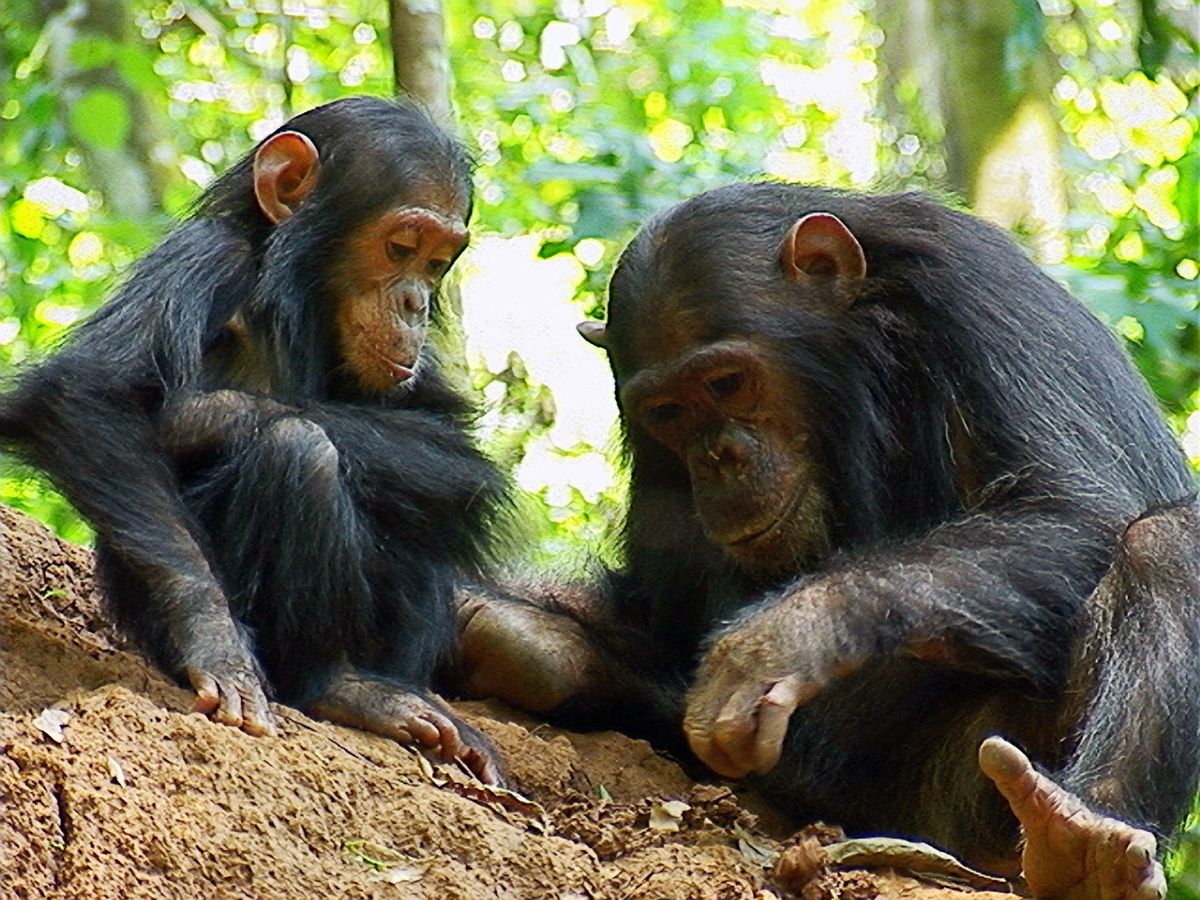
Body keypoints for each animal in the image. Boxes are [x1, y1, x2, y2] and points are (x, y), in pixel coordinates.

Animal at [0, 97, 506, 782]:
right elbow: (87, 395)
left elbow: (452, 450)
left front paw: (208, 415)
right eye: (401, 245)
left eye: (438, 261)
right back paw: (339, 686)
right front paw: (214, 640)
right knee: (300, 449)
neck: (296, 299)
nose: (416, 303)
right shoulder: (202, 256)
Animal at [451, 183, 1200, 897]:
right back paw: (535, 649)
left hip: (963, 809)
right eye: (669, 411)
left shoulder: (983, 300)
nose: (718, 458)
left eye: (727, 381)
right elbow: (657, 607)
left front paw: (787, 636)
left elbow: (1072, 505)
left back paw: (1087, 844)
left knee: (1166, 542)